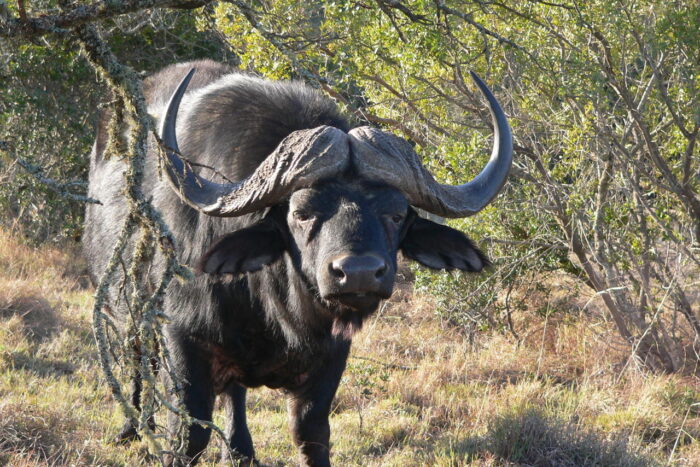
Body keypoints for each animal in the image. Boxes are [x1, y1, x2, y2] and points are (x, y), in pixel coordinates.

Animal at [83, 60, 516, 466]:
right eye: (302, 213)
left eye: (396, 214)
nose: (358, 273)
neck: (274, 310)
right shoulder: (182, 339)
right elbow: (190, 435)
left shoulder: (331, 358)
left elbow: (311, 433)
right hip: (127, 309)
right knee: (137, 357)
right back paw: (133, 428)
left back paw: (239, 450)